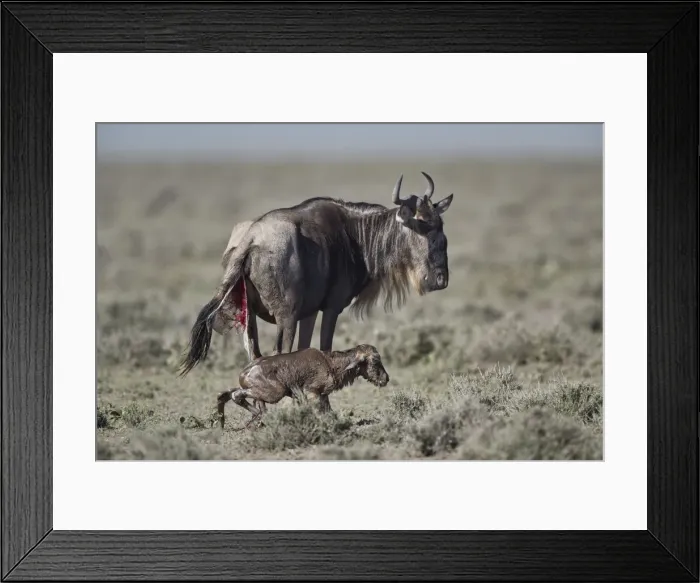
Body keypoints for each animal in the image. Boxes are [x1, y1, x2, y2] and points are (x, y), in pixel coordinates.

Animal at [178, 172, 453, 412]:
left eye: (442, 229)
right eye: (423, 227)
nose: (441, 280)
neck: (355, 235)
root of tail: (251, 240)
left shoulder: (308, 312)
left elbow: (305, 348)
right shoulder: (331, 308)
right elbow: (324, 348)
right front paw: (322, 404)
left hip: (249, 318)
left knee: (254, 354)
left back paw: (261, 411)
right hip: (285, 318)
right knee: (278, 353)